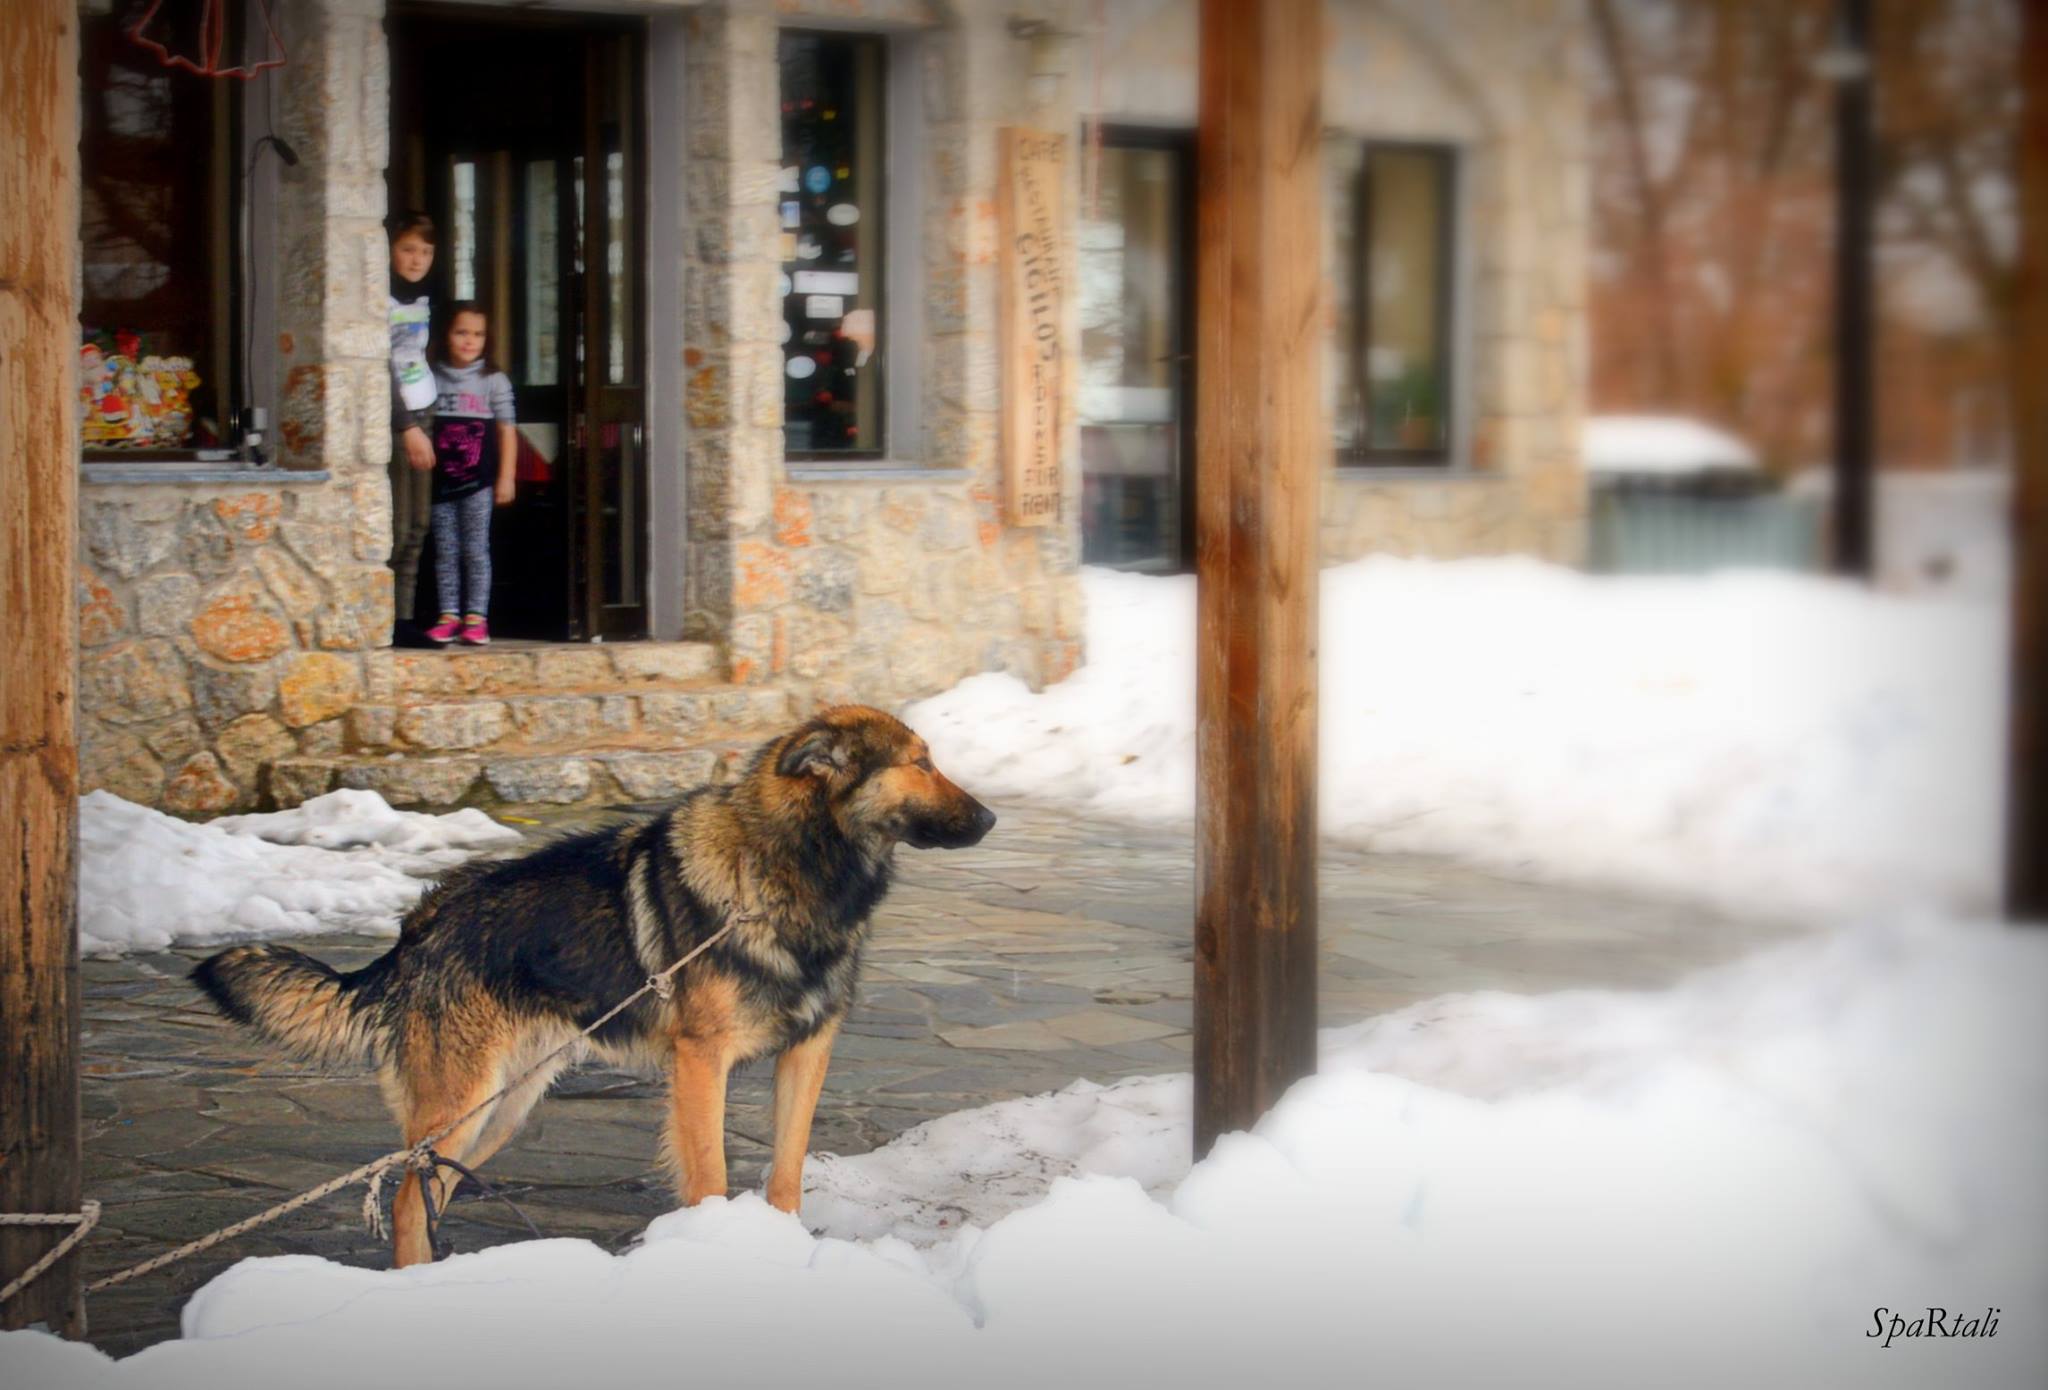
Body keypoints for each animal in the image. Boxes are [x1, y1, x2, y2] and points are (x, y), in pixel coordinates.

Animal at [195, 712, 995, 1269]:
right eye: (921, 763)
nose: (991, 817)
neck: (792, 872)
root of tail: (417, 927)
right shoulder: (701, 1066)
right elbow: (709, 1175)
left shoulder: (806, 1056)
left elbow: (787, 1177)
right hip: (462, 1106)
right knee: (403, 1202)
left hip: (501, 1112)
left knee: (426, 1196)